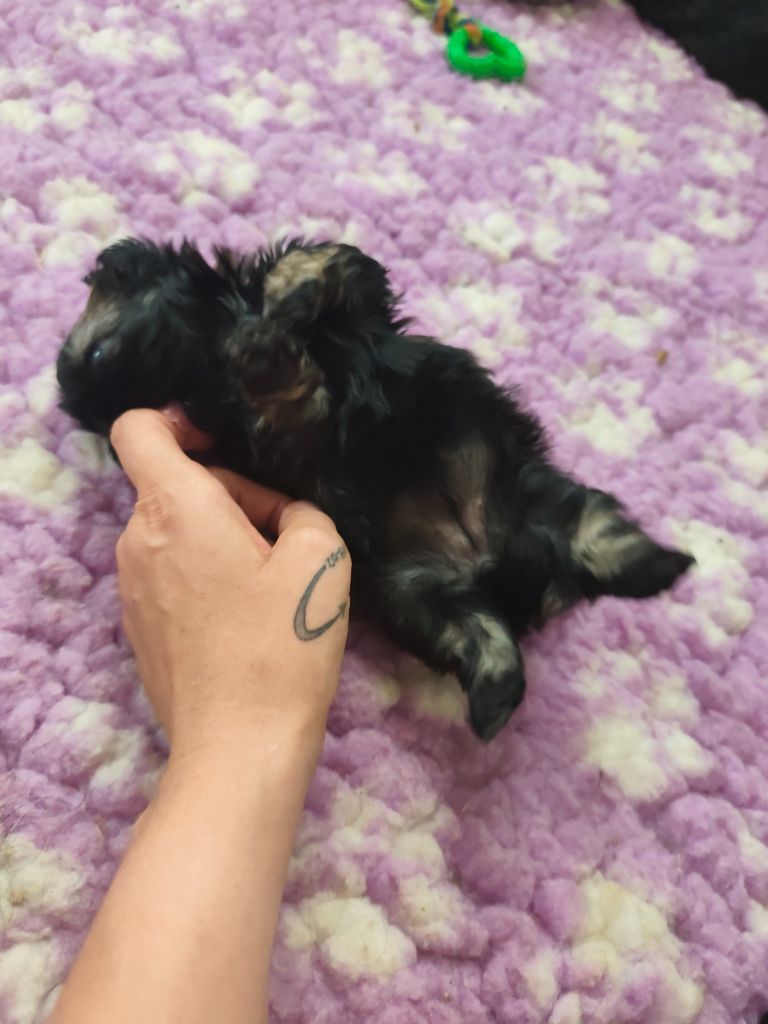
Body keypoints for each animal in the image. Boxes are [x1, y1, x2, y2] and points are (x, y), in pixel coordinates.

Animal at [57, 238, 694, 741]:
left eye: (100, 352)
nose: (118, 437)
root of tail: (491, 559)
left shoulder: (363, 306)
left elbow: (337, 263)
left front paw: (288, 290)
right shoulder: (270, 436)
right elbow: (287, 404)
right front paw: (269, 356)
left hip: (525, 483)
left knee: (591, 530)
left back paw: (661, 563)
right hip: (413, 596)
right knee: (482, 634)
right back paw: (497, 694)